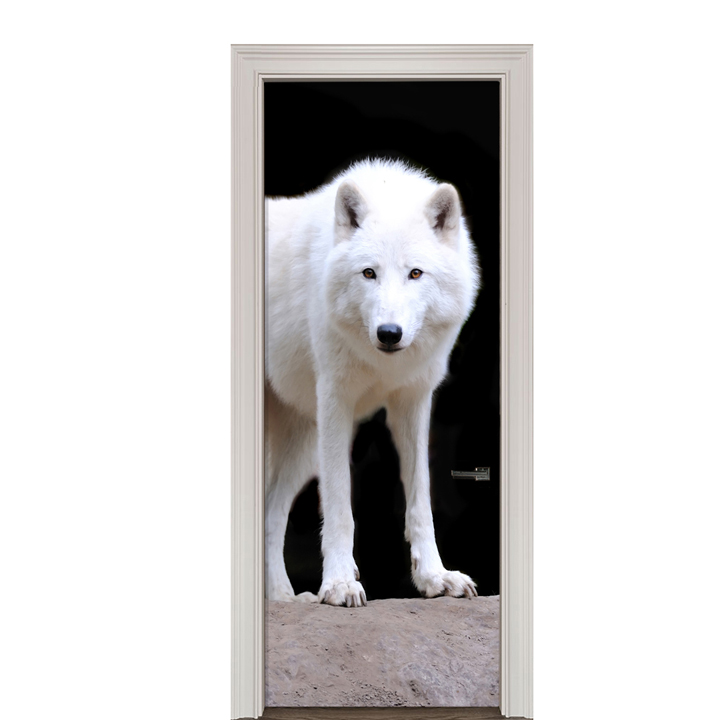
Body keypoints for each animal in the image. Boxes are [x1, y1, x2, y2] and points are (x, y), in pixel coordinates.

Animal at [265, 159, 481, 607]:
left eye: (415, 273)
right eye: (369, 273)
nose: (389, 333)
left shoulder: (414, 402)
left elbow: (421, 503)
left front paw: (435, 577)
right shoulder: (335, 403)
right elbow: (339, 509)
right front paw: (339, 584)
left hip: (303, 446)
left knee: (270, 512)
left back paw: (282, 598)